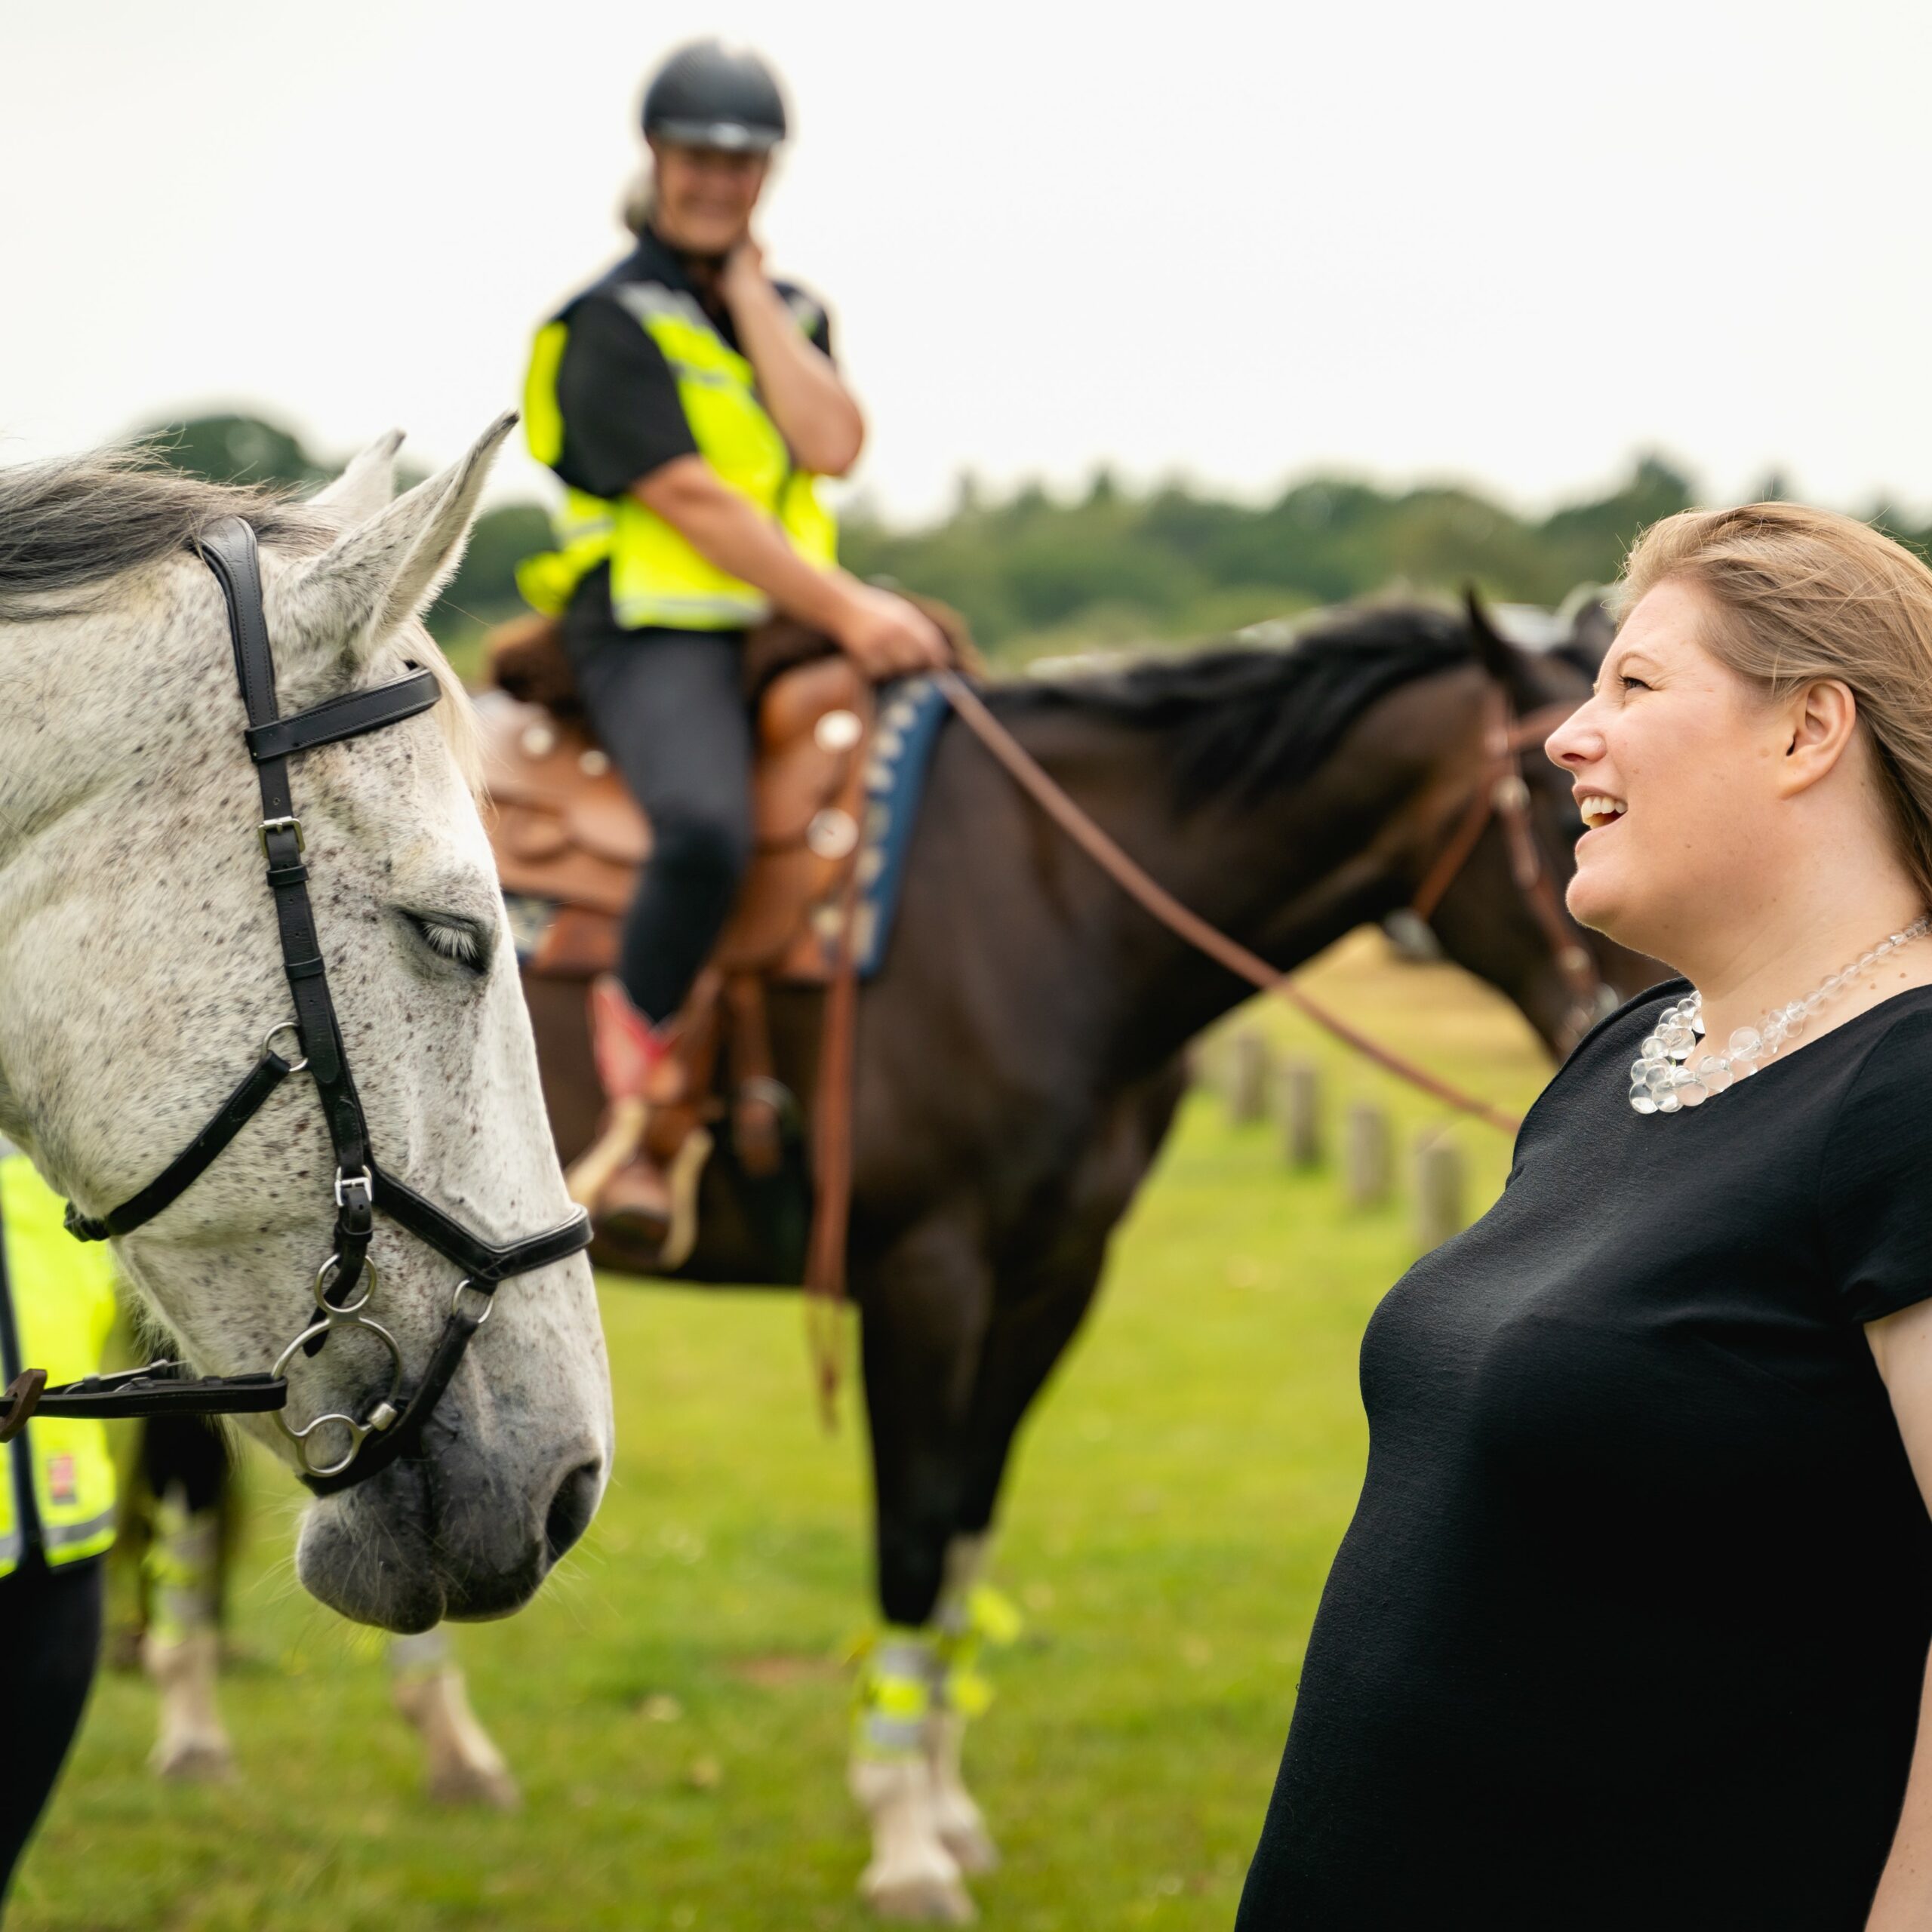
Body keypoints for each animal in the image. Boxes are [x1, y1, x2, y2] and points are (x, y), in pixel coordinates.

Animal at [521, 598, 1654, 1916]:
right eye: (1564, 798)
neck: (1047, 907)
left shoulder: (1052, 1277)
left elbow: (970, 1526)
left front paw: (945, 1809)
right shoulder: (925, 1276)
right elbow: (912, 1537)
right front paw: (904, 1845)